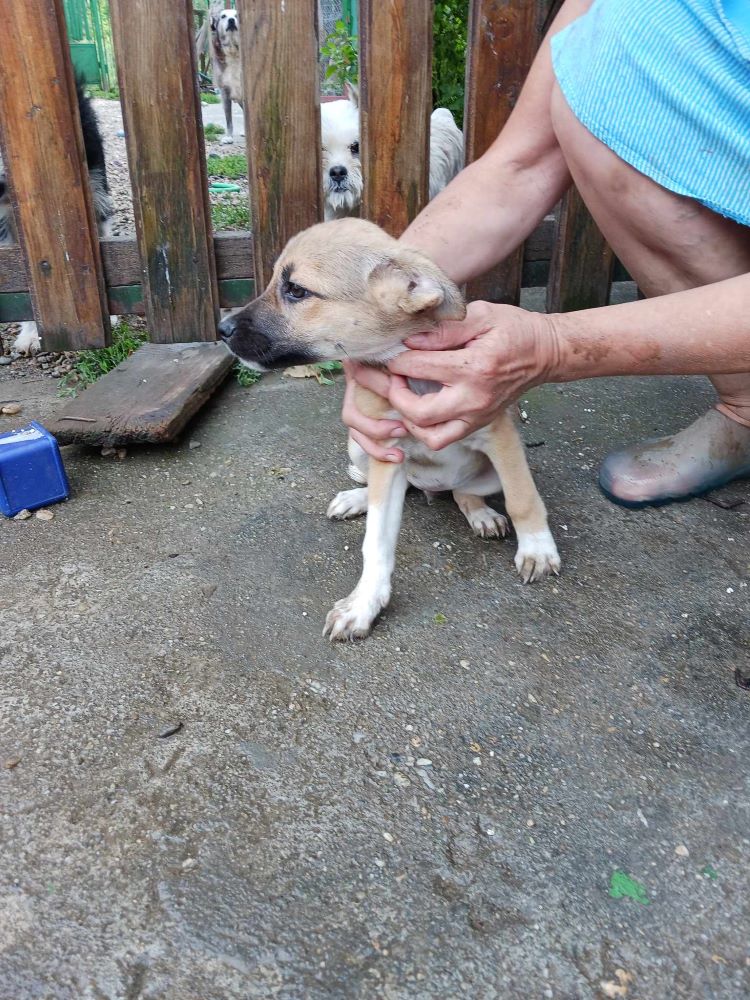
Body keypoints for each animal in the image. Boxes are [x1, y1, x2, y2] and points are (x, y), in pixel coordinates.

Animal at [220, 218, 560, 640]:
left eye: (296, 290)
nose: (221, 328)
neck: (409, 376)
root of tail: (432, 488)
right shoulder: (385, 449)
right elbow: (376, 541)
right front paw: (364, 603)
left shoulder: (500, 436)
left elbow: (522, 499)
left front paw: (537, 550)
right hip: (358, 444)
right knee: (400, 488)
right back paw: (357, 498)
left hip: (488, 471)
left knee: (464, 493)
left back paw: (481, 514)